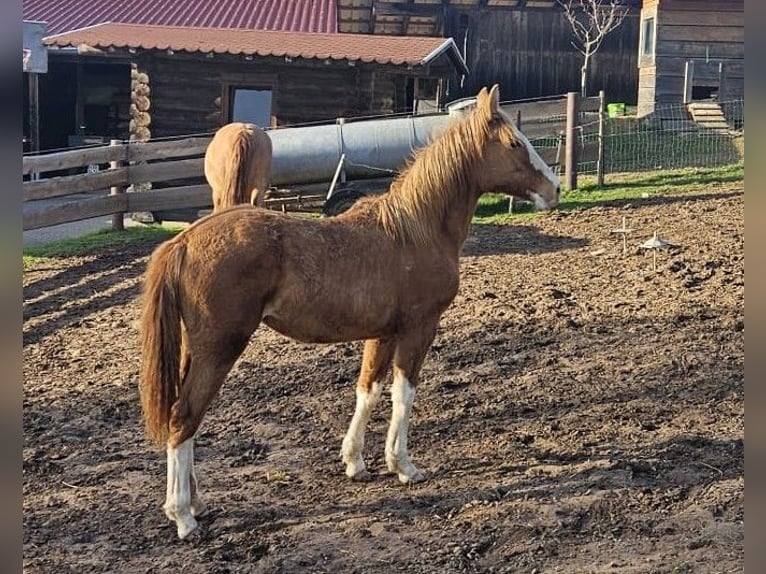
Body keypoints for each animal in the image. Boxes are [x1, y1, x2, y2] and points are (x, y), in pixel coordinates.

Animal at [139, 85, 560, 539]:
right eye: (515, 143)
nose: (554, 188)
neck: (415, 229)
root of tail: (183, 242)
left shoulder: (383, 332)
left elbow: (368, 390)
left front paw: (355, 462)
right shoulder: (419, 328)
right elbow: (404, 394)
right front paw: (404, 465)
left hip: (195, 351)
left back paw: (196, 502)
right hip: (219, 349)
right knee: (184, 418)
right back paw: (183, 516)